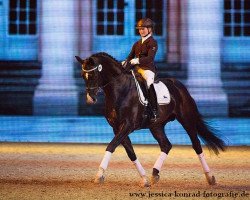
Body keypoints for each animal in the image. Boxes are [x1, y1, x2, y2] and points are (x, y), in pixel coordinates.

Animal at [75, 52, 226, 187]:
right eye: (83, 76)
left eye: (93, 75)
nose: (90, 99)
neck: (119, 91)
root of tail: (179, 85)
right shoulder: (116, 128)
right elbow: (131, 153)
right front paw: (144, 179)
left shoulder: (127, 126)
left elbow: (111, 146)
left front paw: (99, 175)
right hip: (156, 126)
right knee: (166, 145)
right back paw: (155, 174)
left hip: (186, 120)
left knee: (196, 145)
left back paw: (210, 177)